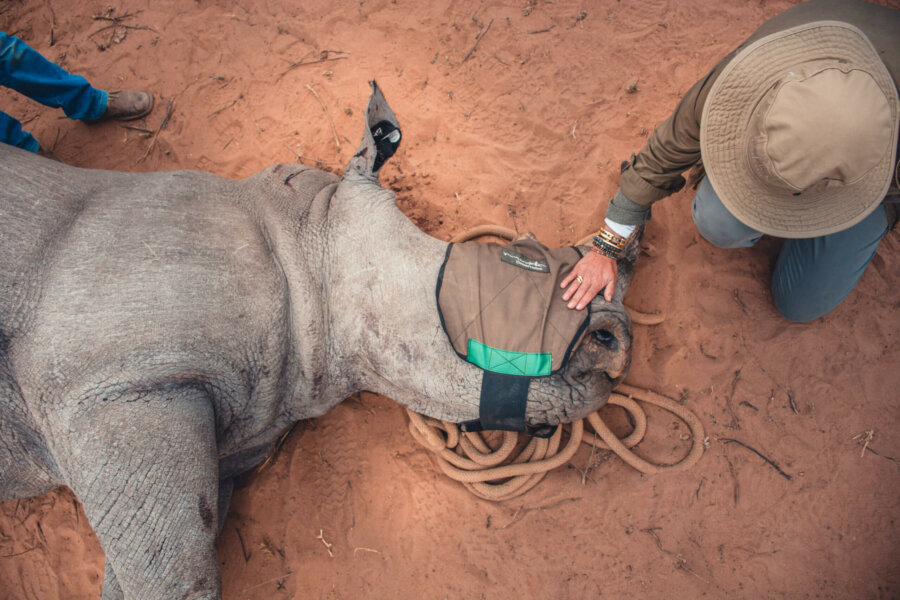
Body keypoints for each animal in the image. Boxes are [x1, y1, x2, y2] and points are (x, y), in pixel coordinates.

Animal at [0, 83, 636, 599]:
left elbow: (161, 564)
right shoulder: (115, 384)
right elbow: (178, 577)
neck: (308, 244)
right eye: (515, 264)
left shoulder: (231, 437)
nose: (616, 341)